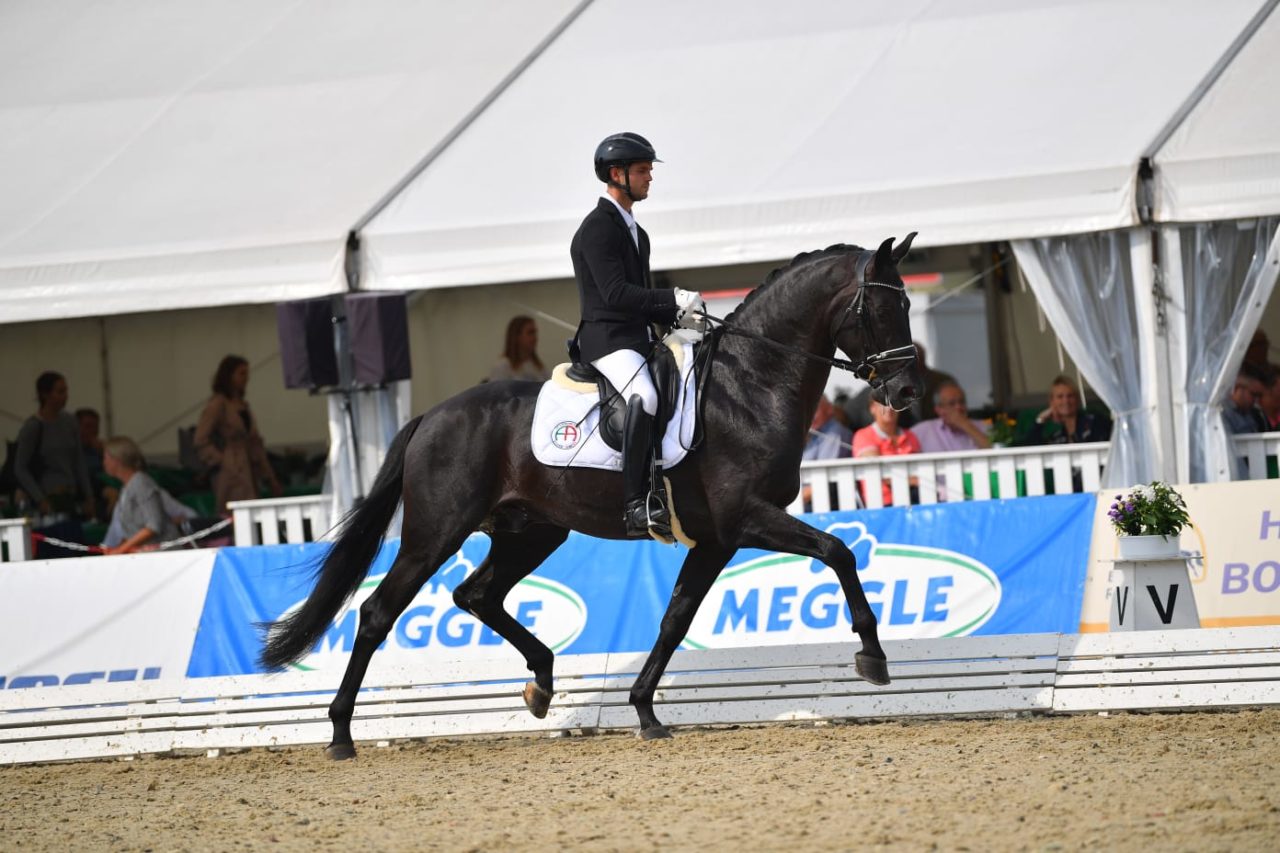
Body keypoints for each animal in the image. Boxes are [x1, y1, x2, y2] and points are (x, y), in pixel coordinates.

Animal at [262, 233, 921, 758]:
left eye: (908, 302)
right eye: (880, 307)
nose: (907, 391)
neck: (749, 386)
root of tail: (432, 414)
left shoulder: (715, 539)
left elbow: (675, 619)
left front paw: (646, 712)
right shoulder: (747, 519)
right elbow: (838, 551)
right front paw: (873, 657)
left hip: (533, 531)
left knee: (476, 594)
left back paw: (542, 683)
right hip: (436, 534)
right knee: (377, 613)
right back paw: (341, 734)